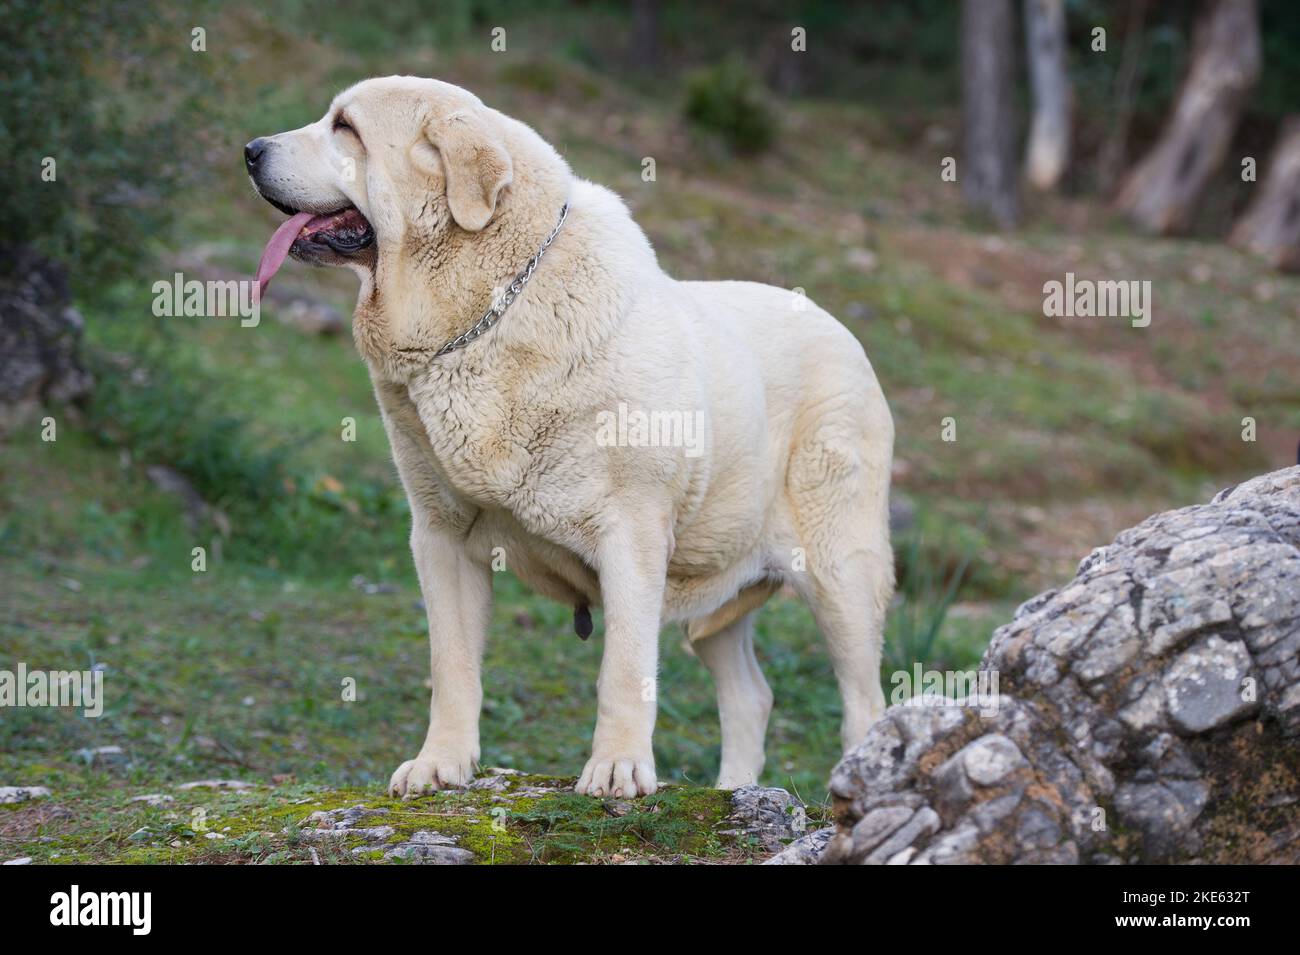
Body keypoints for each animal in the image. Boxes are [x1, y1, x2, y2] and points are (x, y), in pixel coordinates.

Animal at [244, 76, 894, 800]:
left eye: (346, 129)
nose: (250, 150)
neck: (486, 309)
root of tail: (840, 329)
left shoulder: (632, 534)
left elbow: (624, 670)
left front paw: (617, 768)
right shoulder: (440, 537)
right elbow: (452, 667)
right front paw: (441, 763)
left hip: (842, 573)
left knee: (863, 703)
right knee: (749, 695)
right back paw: (734, 793)